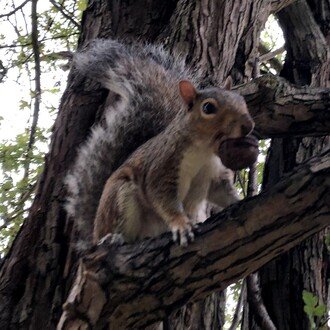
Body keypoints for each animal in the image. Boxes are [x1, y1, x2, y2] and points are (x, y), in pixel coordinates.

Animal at [65, 40, 255, 248]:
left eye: (241, 99)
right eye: (208, 108)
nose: (248, 125)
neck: (205, 150)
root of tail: (94, 230)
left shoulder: (215, 174)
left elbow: (222, 192)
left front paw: (239, 200)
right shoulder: (163, 167)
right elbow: (164, 200)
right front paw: (181, 225)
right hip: (120, 197)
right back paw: (111, 237)